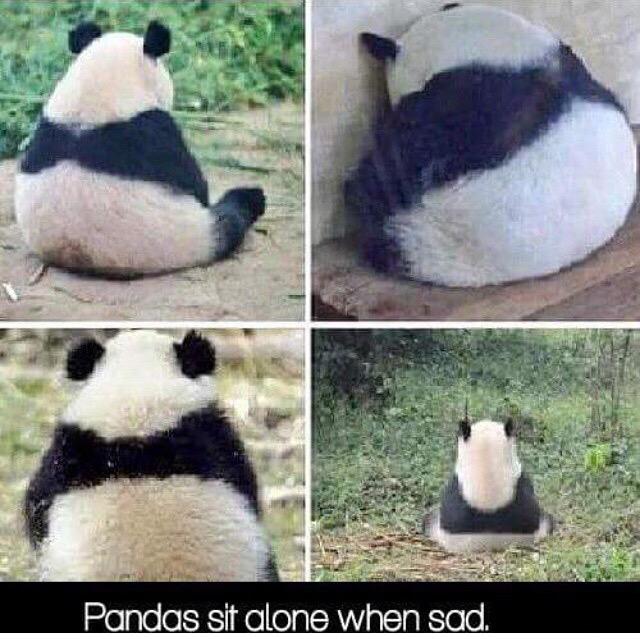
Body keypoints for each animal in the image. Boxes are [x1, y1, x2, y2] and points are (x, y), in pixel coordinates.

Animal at [15, 21, 265, 277]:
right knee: (232, 218)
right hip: (195, 234)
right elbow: (194, 185)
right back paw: (252, 198)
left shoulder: (46, 128)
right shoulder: (154, 132)